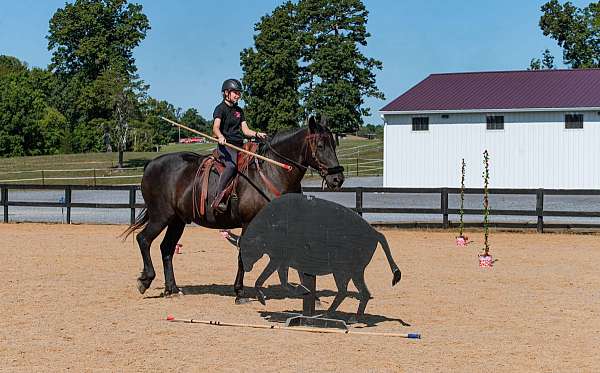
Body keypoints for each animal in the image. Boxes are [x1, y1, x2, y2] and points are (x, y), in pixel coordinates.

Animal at [123, 116, 342, 300]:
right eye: (320, 145)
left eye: (334, 144)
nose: (337, 178)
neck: (273, 171)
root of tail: (151, 164)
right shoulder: (249, 223)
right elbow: (243, 255)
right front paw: (239, 292)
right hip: (161, 216)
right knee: (143, 239)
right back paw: (146, 280)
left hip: (177, 221)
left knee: (166, 248)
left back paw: (172, 289)